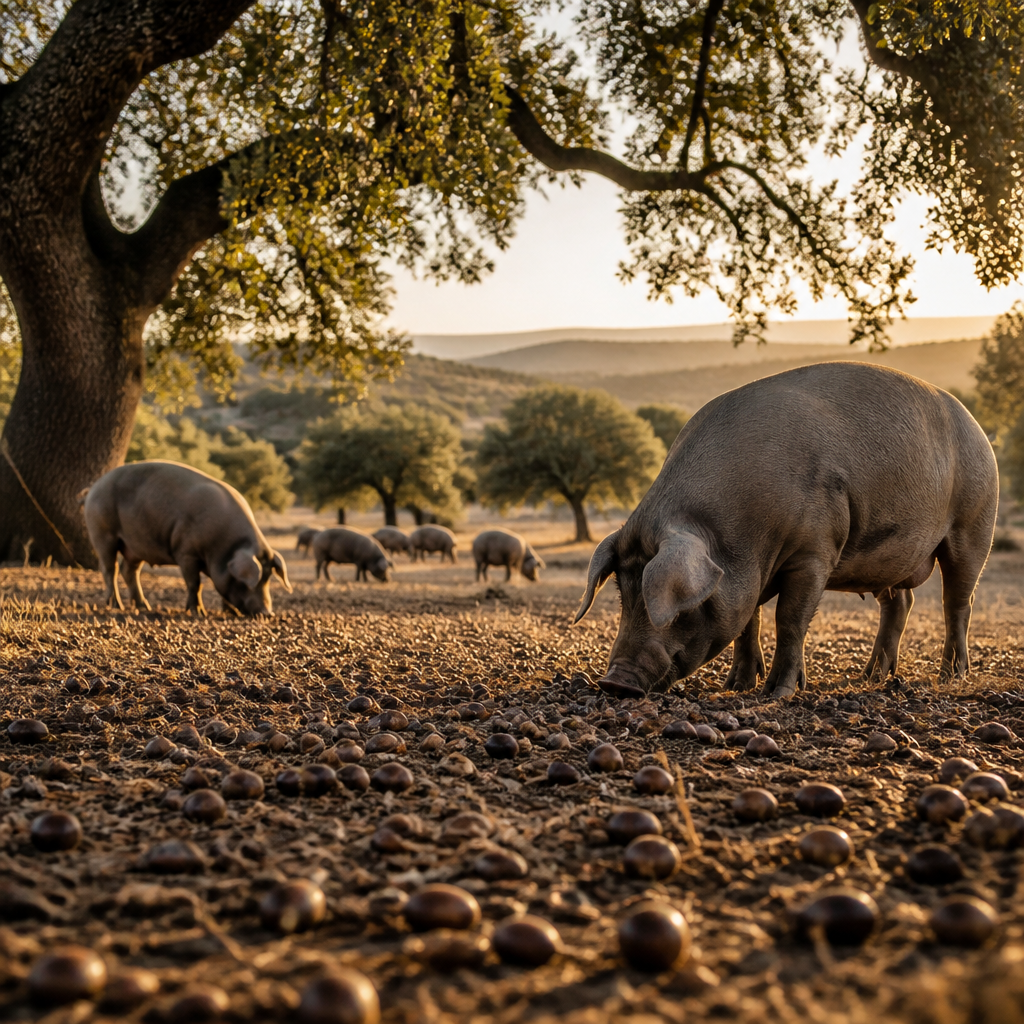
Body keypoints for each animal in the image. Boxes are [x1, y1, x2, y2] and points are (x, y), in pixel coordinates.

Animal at [83, 461, 292, 616]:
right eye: (255, 580)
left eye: (268, 577)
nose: (268, 613)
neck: (224, 547)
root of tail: (93, 488)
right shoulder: (186, 553)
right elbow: (195, 583)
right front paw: (198, 613)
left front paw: (230, 612)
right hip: (102, 534)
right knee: (110, 569)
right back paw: (116, 606)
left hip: (134, 546)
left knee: (129, 571)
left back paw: (144, 607)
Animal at [574, 363, 998, 700]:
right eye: (623, 593)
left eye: (683, 605)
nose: (615, 683)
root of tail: (978, 427)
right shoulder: (748, 577)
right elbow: (748, 625)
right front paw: (736, 687)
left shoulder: (815, 552)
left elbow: (790, 620)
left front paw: (778, 693)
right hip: (888, 556)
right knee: (900, 603)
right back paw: (871, 678)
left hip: (975, 525)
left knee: (957, 602)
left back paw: (951, 676)